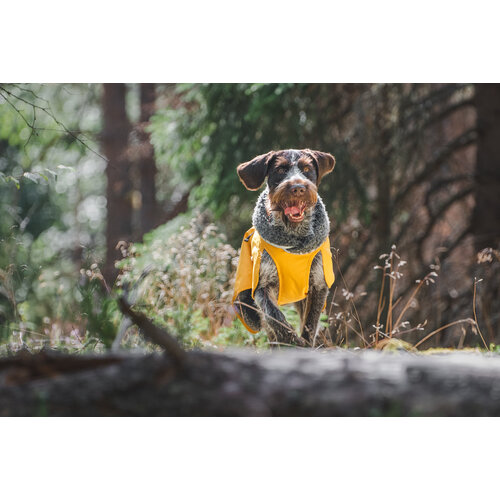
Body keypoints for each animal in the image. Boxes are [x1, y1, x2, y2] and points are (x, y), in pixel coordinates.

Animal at [233, 146, 336, 346]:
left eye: (306, 169)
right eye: (280, 170)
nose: (297, 188)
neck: (293, 239)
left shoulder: (318, 285)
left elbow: (310, 323)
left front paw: (305, 343)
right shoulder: (262, 288)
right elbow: (275, 318)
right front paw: (292, 342)